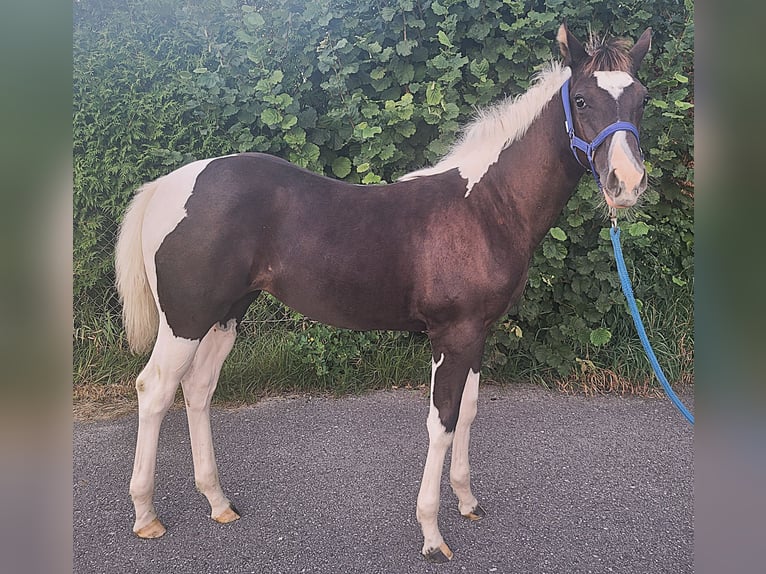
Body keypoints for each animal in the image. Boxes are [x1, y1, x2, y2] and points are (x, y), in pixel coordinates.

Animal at [115, 23, 652, 562]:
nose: (625, 183)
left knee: (198, 389)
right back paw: (146, 515)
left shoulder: (477, 333)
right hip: (186, 320)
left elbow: (469, 412)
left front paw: (467, 501)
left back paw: (218, 501)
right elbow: (443, 421)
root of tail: (166, 185)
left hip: (225, 315)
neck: (484, 208)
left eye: (642, 99)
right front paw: (432, 534)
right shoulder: (451, 335)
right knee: (155, 389)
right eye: (581, 100)